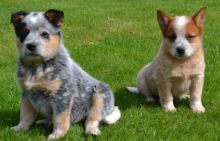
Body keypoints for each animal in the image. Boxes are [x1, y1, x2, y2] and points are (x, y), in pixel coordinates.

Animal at [9, 9, 120, 139]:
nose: (31, 45)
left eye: (44, 34)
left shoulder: (62, 95)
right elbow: (25, 115)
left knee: (92, 118)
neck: (37, 67)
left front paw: (57, 135)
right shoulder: (26, 94)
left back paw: (92, 130)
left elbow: (60, 118)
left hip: (100, 94)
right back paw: (44, 121)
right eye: (24, 32)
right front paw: (20, 128)